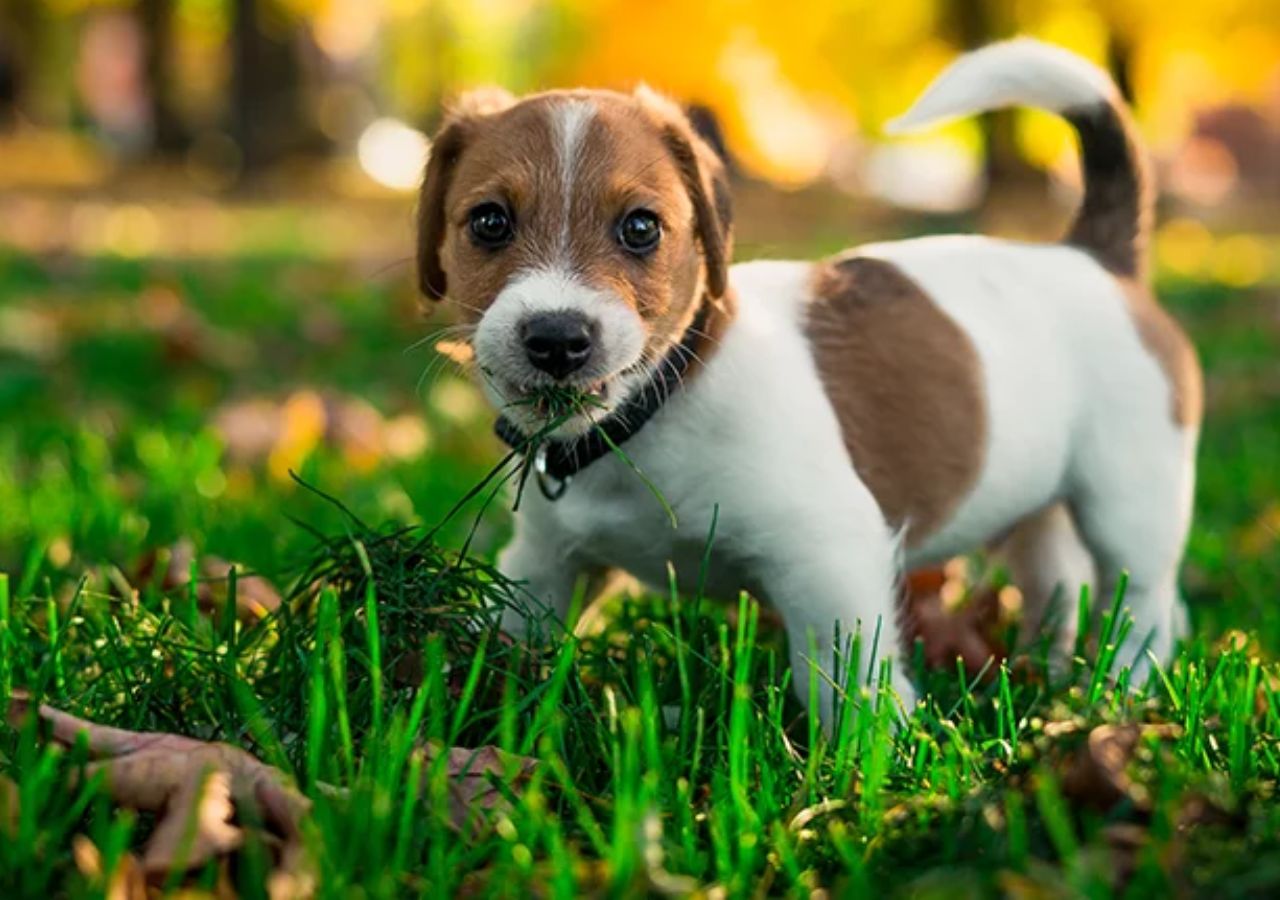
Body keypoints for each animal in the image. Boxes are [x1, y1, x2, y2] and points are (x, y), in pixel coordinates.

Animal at [417, 38, 1198, 727]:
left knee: (1146, 603)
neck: (659, 406)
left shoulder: (828, 554)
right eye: (489, 222)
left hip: (1130, 498)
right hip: (1034, 504)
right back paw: (1049, 671)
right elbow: (512, 628)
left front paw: (871, 759)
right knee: (1056, 581)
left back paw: (1118, 688)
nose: (557, 339)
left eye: (641, 228)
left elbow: (841, 674)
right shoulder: (543, 564)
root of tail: (1097, 257)